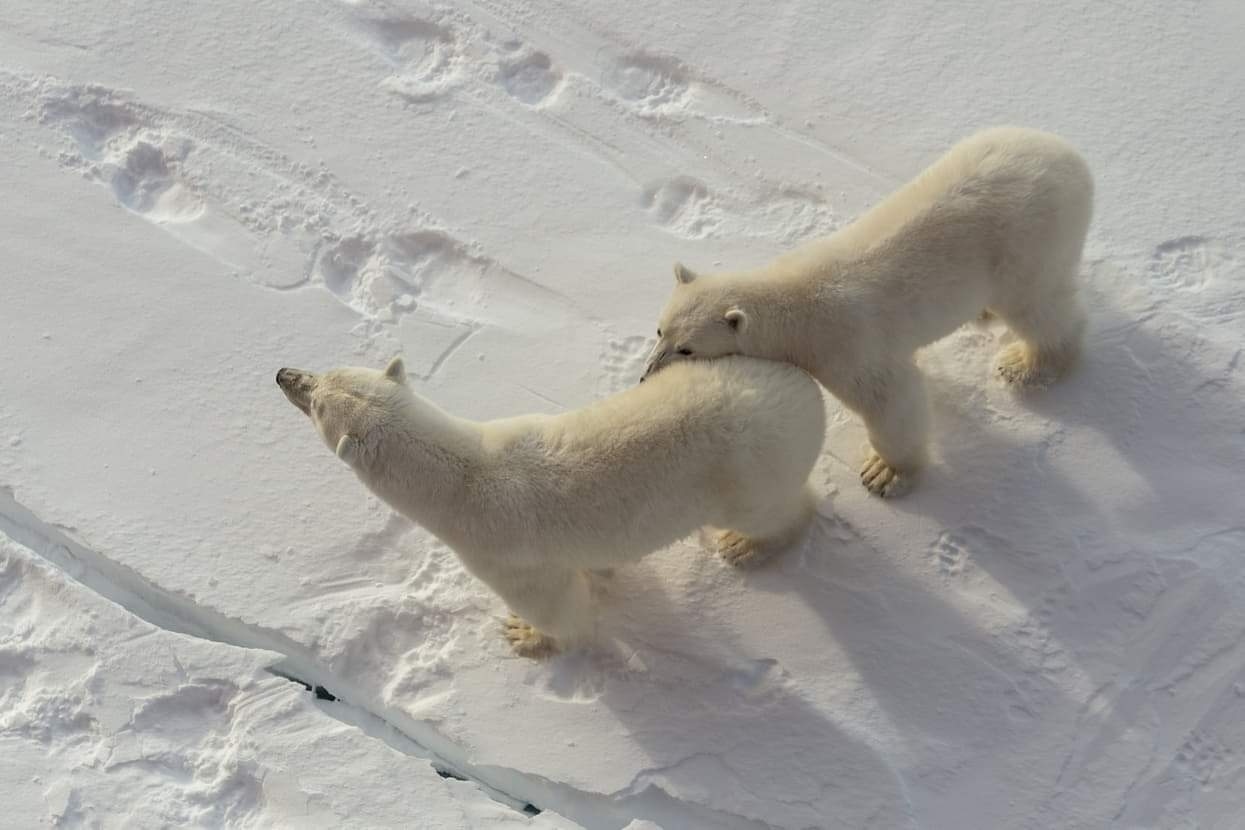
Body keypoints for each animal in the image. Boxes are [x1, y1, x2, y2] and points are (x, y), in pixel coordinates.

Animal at [276, 353, 821, 657]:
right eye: (328, 372)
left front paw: (527, 637)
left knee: (773, 509)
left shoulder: (502, 551)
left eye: (317, 402)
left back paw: (747, 545)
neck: (464, 474)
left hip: (750, 471)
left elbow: (556, 604)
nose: (283, 374)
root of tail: (806, 391)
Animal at [642, 126, 1090, 497]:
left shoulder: (846, 347)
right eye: (660, 331)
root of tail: (1075, 161)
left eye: (687, 349)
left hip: (1028, 242)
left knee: (1037, 305)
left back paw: (1027, 363)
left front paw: (884, 472)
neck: (794, 302)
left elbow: (892, 401)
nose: (646, 376)